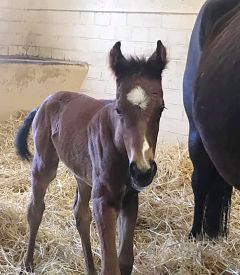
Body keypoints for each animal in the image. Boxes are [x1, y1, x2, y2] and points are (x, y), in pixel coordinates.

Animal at [15, 40, 167, 274]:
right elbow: (111, 266)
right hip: (44, 164)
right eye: (119, 109)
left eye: (160, 109)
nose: (142, 171)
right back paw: (28, 263)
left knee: (81, 215)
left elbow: (125, 261)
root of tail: (44, 102)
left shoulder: (130, 198)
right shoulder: (103, 200)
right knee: (35, 209)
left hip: (83, 175)